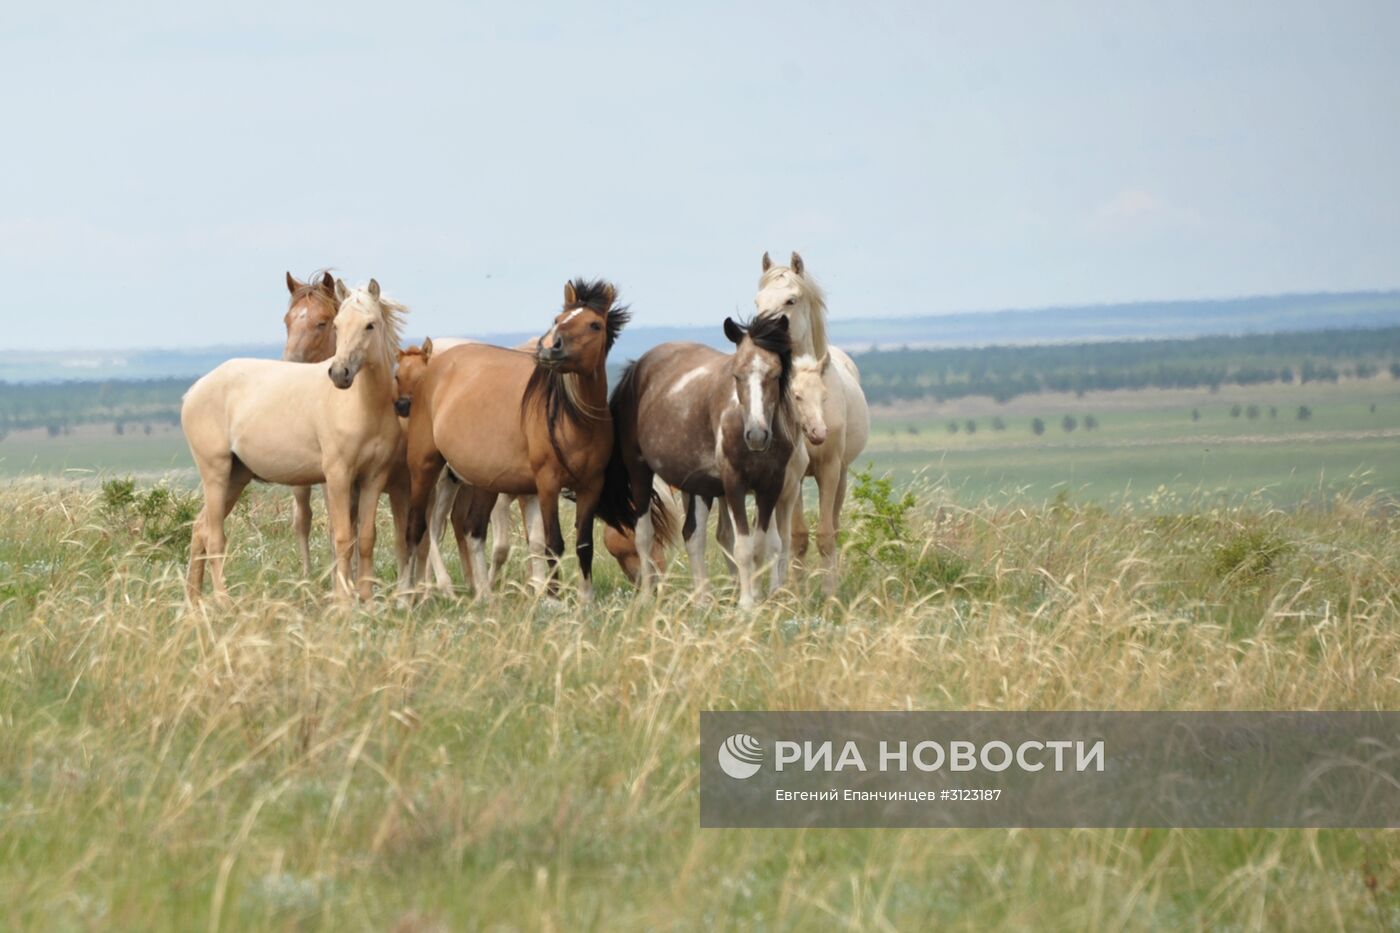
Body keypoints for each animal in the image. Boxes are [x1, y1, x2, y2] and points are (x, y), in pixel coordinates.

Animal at [180, 277, 406, 596]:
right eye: (337, 325)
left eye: (369, 325)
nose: (340, 374)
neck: (363, 406)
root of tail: (194, 390)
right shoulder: (337, 476)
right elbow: (341, 538)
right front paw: (343, 600)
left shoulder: (373, 478)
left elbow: (364, 539)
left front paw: (367, 600)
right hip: (216, 473)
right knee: (214, 538)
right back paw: (222, 601)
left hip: (236, 477)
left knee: (200, 529)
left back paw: (194, 600)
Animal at [607, 312, 795, 607]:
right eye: (737, 374)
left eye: (775, 374)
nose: (755, 435)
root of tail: (637, 368)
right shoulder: (734, 484)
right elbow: (743, 547)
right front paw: (747, 604)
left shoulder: (771, 485)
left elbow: (760, 545)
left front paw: (756, 596)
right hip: (639, 472)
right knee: (644, 535)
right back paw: (648, 596)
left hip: (697, 485)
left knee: (693, 536)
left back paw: (703, 599)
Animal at [756, 250, 862, 591]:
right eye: (757, 300)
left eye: (791, 300)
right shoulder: (795, 476)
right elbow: (797, 537)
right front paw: (796, 591)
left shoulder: (829, 469)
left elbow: (826, 536)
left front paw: (830, 594)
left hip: (842, 475)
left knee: (835, 525)